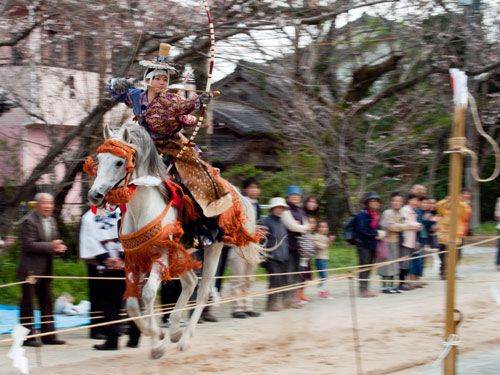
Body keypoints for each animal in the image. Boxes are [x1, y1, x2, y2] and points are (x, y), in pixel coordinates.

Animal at [87, 125, 264, 360]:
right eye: (99, 158)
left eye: (119, 162)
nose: (94, 195)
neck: (142, 207)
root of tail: (235, 192)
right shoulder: (136, 256)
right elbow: (133, 303)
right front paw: (155, 334)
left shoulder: (160, 254)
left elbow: (148, 294)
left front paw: (156, 344)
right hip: (180, 252)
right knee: (190, 282)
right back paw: (173, 331)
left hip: (213, 248)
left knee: (203, 291)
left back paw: (184, 339)